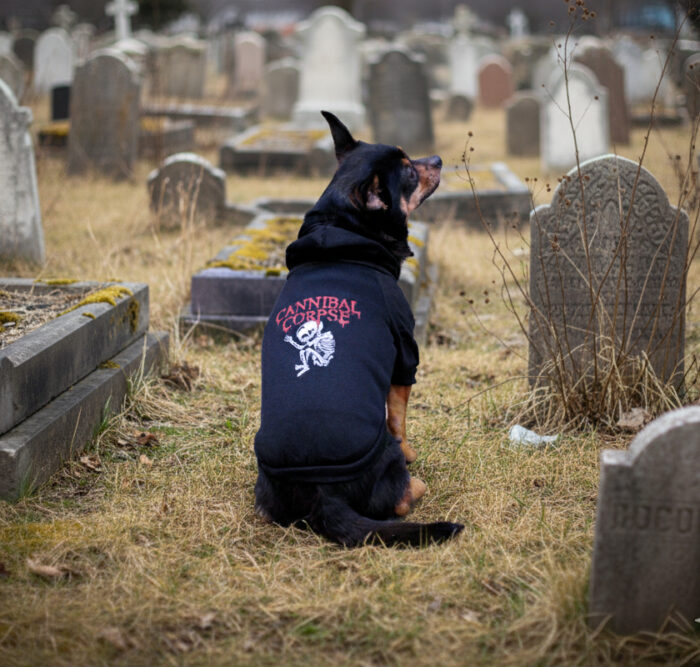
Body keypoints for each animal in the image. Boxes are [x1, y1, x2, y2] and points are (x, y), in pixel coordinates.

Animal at [253, 111, 464, 547]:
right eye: (408, 170)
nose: (437, 159)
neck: (343, 230)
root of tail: (323, 491)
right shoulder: (405, 354)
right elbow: (399, 416)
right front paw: (412, 451)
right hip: (385, 464)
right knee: (398, 500)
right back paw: (415, 481)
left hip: (266, 493)